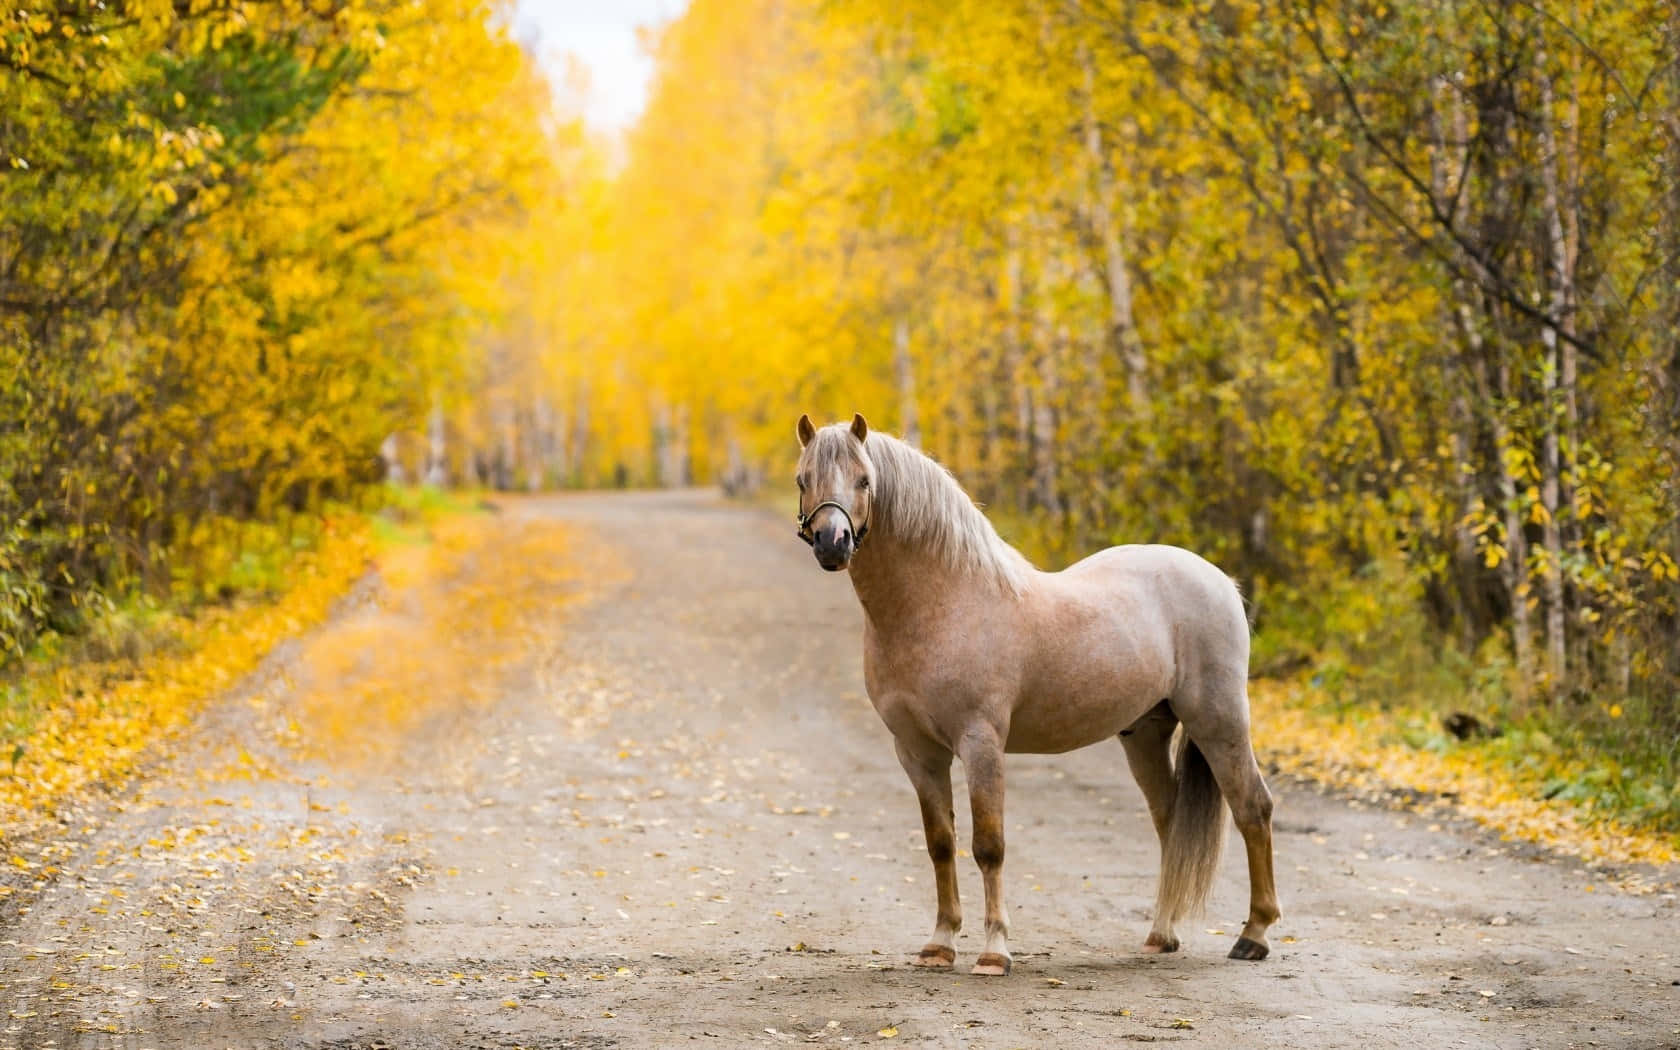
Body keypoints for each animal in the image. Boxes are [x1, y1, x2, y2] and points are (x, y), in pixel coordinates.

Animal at [793, 413, 1279, 977]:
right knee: (1171, 823)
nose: (833, 543)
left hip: (1219, 720)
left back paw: (1254, 935)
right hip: (1145, 733)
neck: (944, 603)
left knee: (1252, 807)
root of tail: (1219, 580)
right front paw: (939, 944)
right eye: (804, 478)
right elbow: (940, 844)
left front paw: (994, 952)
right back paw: (1162, 935)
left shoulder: (981, 742)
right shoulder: (917, 751)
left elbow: (989, 845)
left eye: (865, 480)